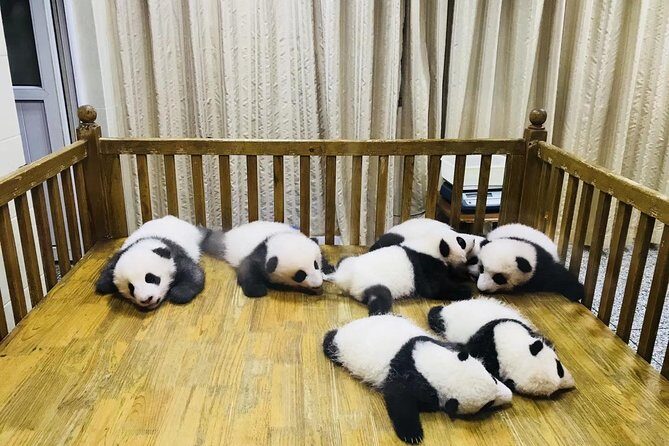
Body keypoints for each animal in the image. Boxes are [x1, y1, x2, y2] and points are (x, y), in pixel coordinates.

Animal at [203, 221, 332, 298]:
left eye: (315, 265)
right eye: (300, 275)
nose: (317, 284)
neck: (274, 238)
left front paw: (329, 269)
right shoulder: (258, 255)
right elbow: (247, 270)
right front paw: (257, 290)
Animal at [323, 314, 512, 444]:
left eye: (494, 379)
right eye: (487, 404)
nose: (509, 396)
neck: (433, 363)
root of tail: (353, 324)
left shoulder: (440, 345)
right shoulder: (405, 375)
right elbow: (398, 398)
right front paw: (412, 434)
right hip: (341, 347)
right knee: (330, 343)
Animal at [325, 234, 472, 315]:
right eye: (461, 241)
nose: (474, 240)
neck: (430, 244)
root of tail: (343, 277)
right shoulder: (425, 264)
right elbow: (434, 288)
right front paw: (464, 290)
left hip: (350, 262)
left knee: (343, 259)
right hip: (369, 283)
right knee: (381, 297)